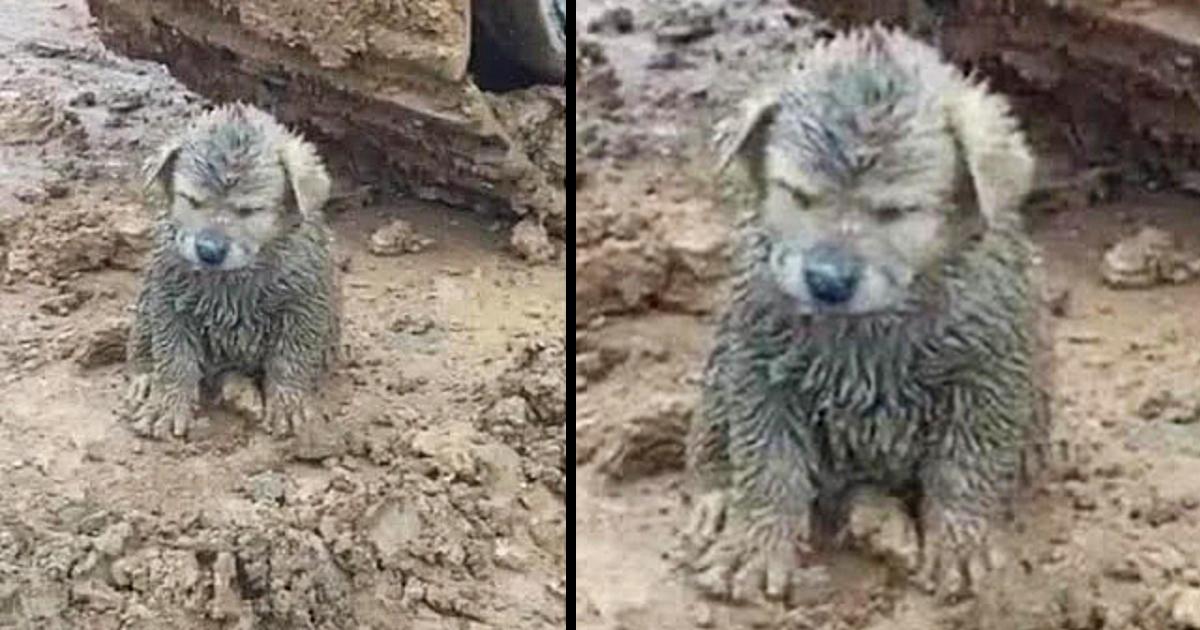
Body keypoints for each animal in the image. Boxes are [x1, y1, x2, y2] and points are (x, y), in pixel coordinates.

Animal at [125, 102, 338, 436]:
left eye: (250, 210)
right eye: (192, 200)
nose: (209, 250)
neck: (234, 277)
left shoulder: (305, 302)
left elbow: (290, 356)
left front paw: (287, 403)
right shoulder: (168, 299)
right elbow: (174, 358)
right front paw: (168, 404)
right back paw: (147, 378)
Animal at [686, 27, 1051, 602]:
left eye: (896, 211)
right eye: (799, 194)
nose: (828, 280)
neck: (869, 327)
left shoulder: (989, 369)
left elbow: (965, 464)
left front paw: (960, 543)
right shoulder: (757, 361)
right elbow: (767, 464)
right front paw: (755, 544)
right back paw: (722, 496)